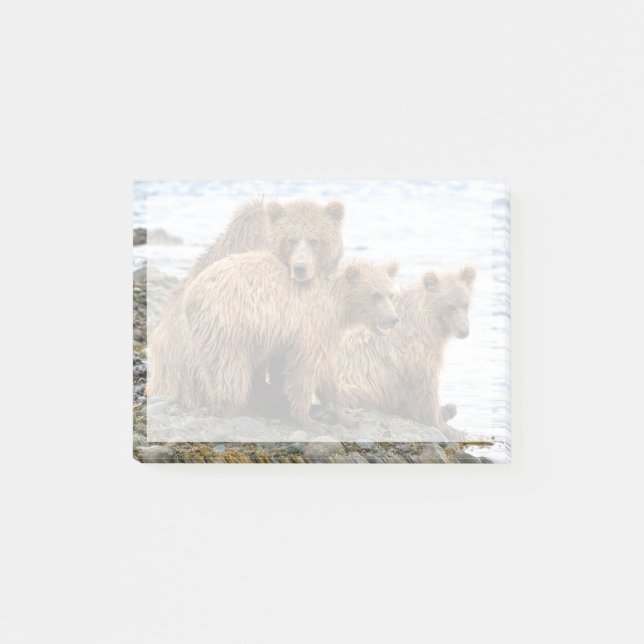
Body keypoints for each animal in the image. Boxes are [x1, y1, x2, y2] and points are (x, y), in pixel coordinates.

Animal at [152, 254, 399, 430]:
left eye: (390, 294)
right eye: (375, 295)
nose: (393, 319)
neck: (337, 306)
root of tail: (190, 296)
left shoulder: (321, 334)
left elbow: (326, 373)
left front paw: (346, 417)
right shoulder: (310, 327)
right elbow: (304, 370)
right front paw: (310, 420)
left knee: (212, 370)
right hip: (230, 326)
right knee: (231, 369)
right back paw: (237, 409)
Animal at [335, 266, 477, 429]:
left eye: (465, 303)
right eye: (449, 306)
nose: (464, 330)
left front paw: (446, 411)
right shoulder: (416, 352)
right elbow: (426, 388)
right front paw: (442, 424)